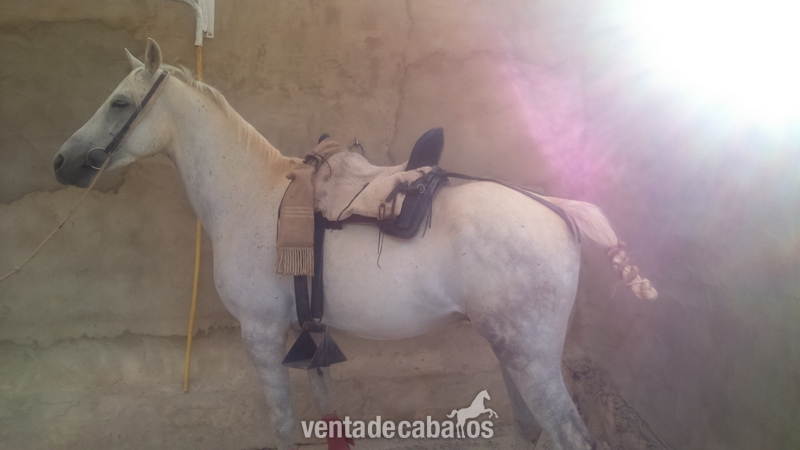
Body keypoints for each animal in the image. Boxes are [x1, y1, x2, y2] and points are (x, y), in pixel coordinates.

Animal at [53, 39, 654, 450]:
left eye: (119, 103)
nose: (62, 161)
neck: (250, 195)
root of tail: (556, 208)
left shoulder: (262, 337)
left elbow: (282, 424)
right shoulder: (307, 334)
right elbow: (328, 411)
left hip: (531, 358)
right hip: (513, 352)